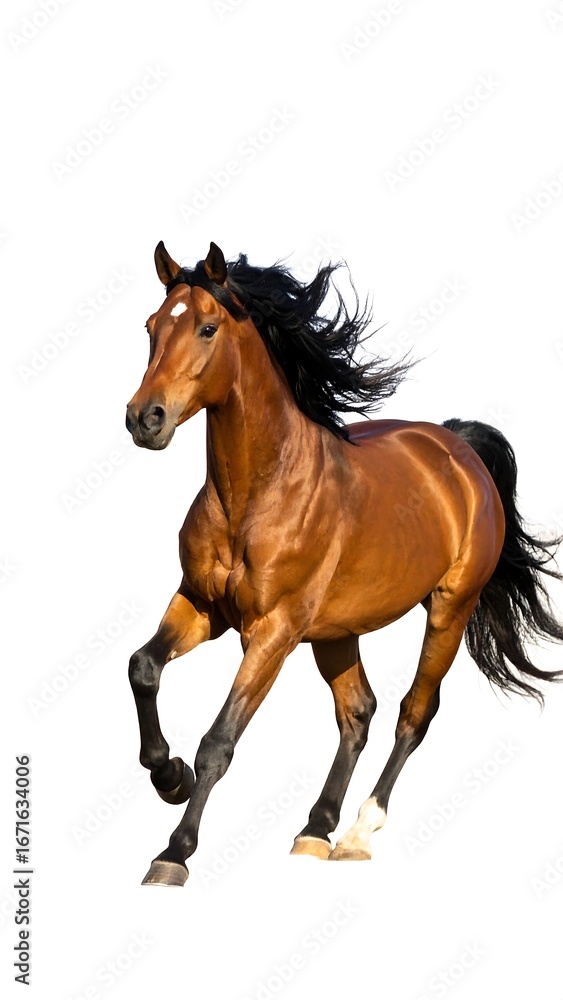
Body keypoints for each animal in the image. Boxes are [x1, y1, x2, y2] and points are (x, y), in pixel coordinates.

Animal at [125, 241, 563, 886]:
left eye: (207, 327)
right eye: (151, 326)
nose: (143, 418)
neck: (255, 494)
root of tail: (459, 447)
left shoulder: (273, 632)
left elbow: (219, 740)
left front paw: (174, 852)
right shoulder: (202, 606)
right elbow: (143, 668)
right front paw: (168, 774)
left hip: (449, 610)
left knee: (414, 712)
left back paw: (358, 832)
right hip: (336, 630)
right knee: (358, 711)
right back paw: (315, 829)